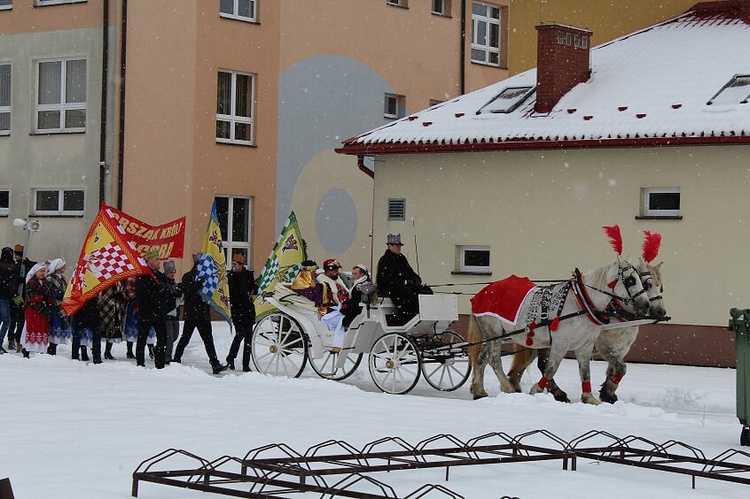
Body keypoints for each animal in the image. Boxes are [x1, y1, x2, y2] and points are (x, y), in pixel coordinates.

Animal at [508, 230, 668, 402]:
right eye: (646, 284)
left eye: (661, 287)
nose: (660, 311)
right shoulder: (605, 347)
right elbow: (621, 367)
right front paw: (608, 392)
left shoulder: (622, 348)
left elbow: (615, 369)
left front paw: (608, 392)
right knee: (543, 365)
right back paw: (557, 393)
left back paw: (515, 386)